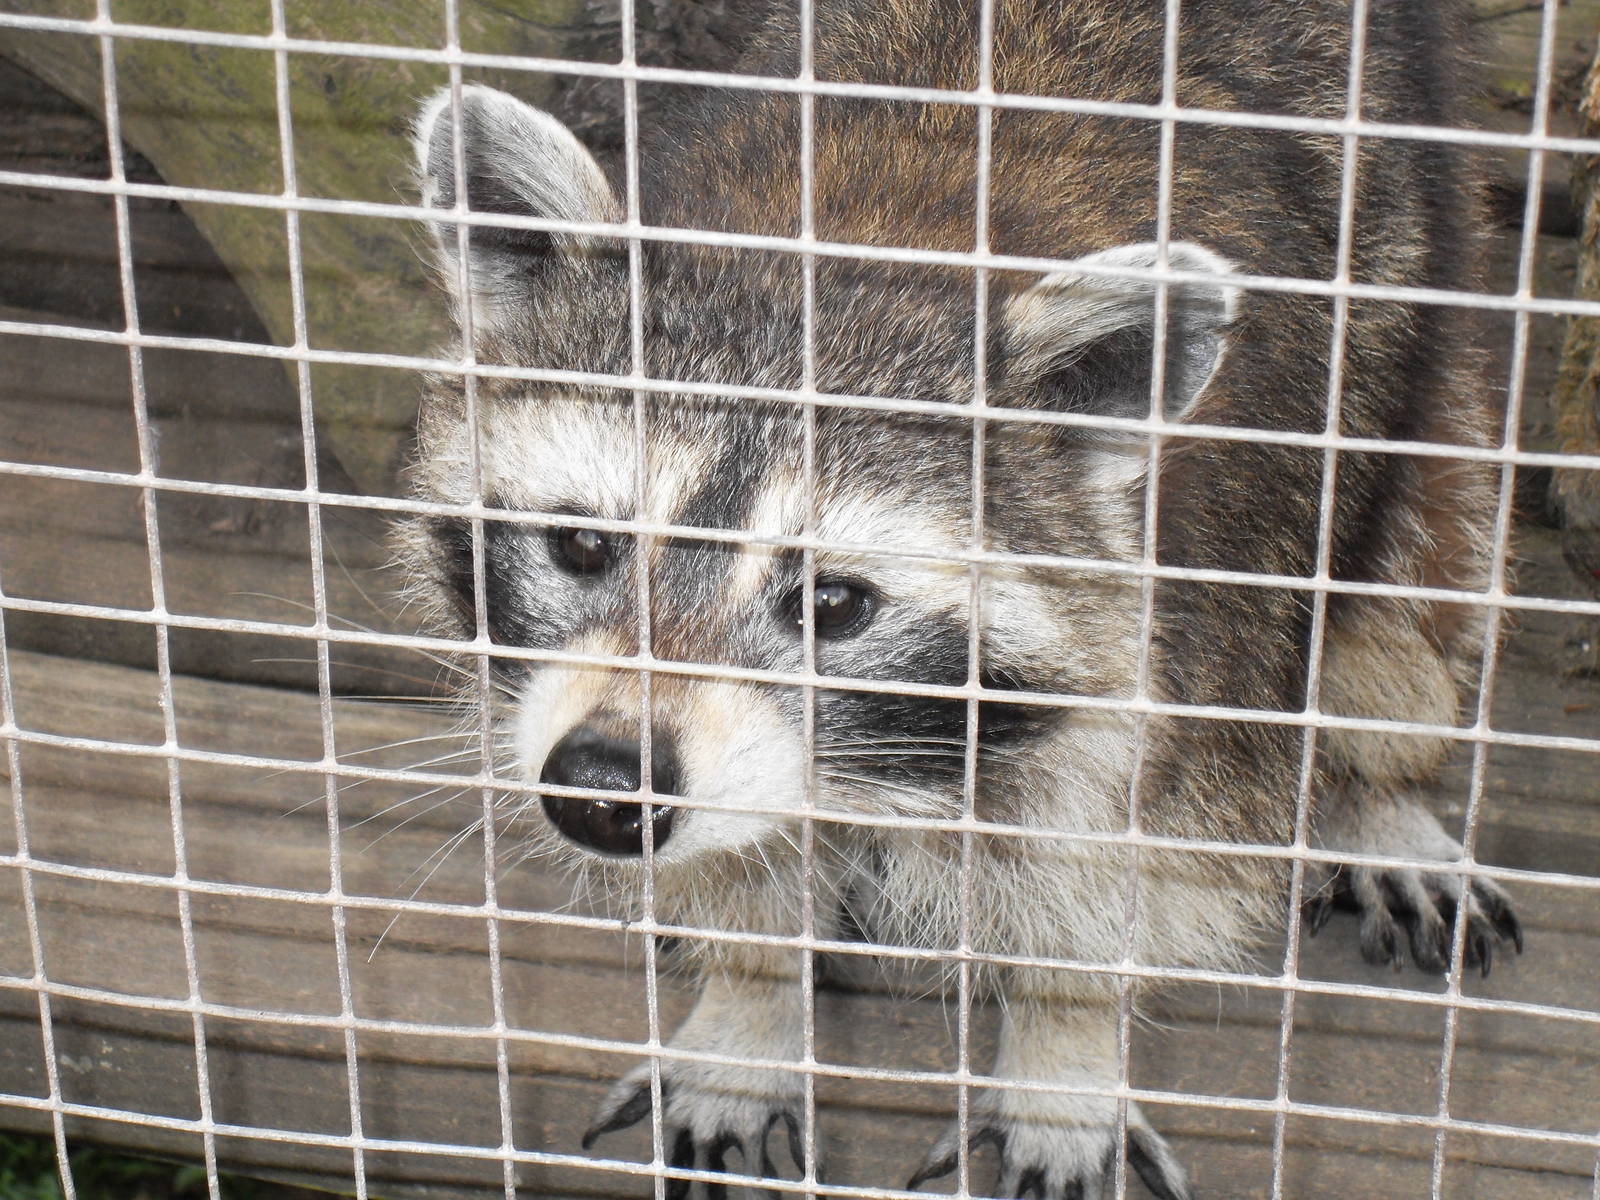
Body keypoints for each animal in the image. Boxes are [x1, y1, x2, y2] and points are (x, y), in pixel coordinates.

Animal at [396, 1, 1524, 1195]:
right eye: (581, 545)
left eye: (831, 605)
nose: (604, 789)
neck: (873, 231)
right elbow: (754, 867)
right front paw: (748, 1000)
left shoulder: (1221, 596)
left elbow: (1137, 848)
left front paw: (1064, 1048)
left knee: (1416, 591)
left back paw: (1381, 791)